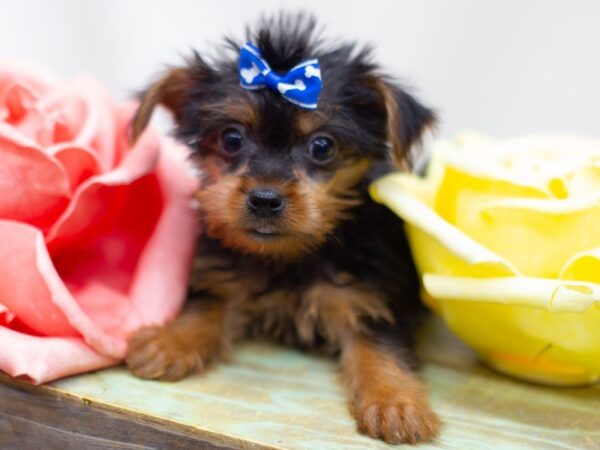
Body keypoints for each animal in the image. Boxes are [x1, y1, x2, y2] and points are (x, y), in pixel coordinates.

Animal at [125, 13, 440, 442]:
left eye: (322, 146)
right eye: (232, 138)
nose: (264, 199)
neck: (288, 257)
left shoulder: (370, 296)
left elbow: (380, 345)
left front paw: (395, 403)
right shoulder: (226, 274)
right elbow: (208, 303)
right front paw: (169, 341)